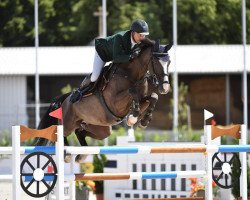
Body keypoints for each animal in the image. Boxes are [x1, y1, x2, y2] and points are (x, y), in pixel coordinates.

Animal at [36, 40, 171, 162]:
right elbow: (133, 92)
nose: (165, 88)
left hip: (101, 129)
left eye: (169, 62)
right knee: (60, 133)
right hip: (68, 123)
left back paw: (82, 155)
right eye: (155, 61)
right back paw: (67, 154)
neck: (131, 74)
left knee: (80, 131)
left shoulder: (143, 100)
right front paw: (133, 117)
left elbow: (153, 96)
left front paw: (143, 120)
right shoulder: (115, 103)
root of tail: (65, 99)